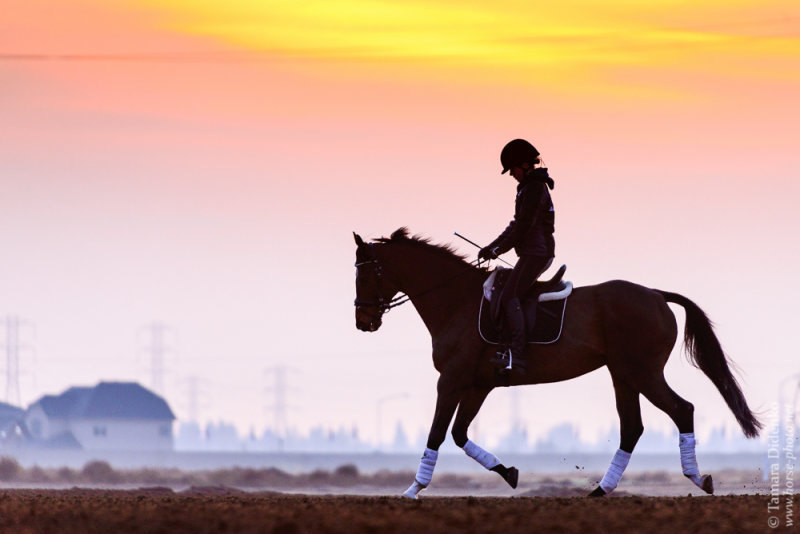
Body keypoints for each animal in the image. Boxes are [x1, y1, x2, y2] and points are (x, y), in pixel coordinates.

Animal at [354, 228, 764, 500]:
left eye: (366, 272)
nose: (363, 322)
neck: (457, 300)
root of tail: (655, 295)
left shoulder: (452, 380)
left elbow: (437, 434)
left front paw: (413, 490)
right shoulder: (478, 384)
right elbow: (459, 434)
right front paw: (509, 473)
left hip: (643, 373)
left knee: (682, 410)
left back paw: (697, 479)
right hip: (624, 375)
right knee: (632, 428)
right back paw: (601, 490)